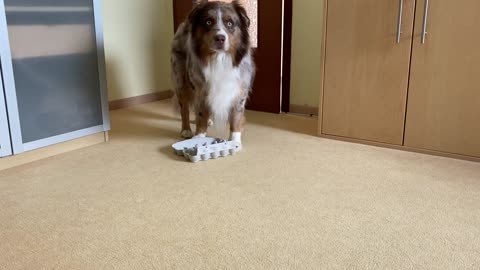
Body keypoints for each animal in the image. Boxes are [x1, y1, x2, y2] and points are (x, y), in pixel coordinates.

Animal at [172, 0, 256, 148]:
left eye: (230, 23)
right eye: (208, 22)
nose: (220, 38)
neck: (219, 58)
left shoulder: (239, 90)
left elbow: (236, 117)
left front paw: (234, 140)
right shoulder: (201, 89)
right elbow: (200, 113)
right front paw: (199, 136)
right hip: (180, 80)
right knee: (184, 108)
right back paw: (186, 130)